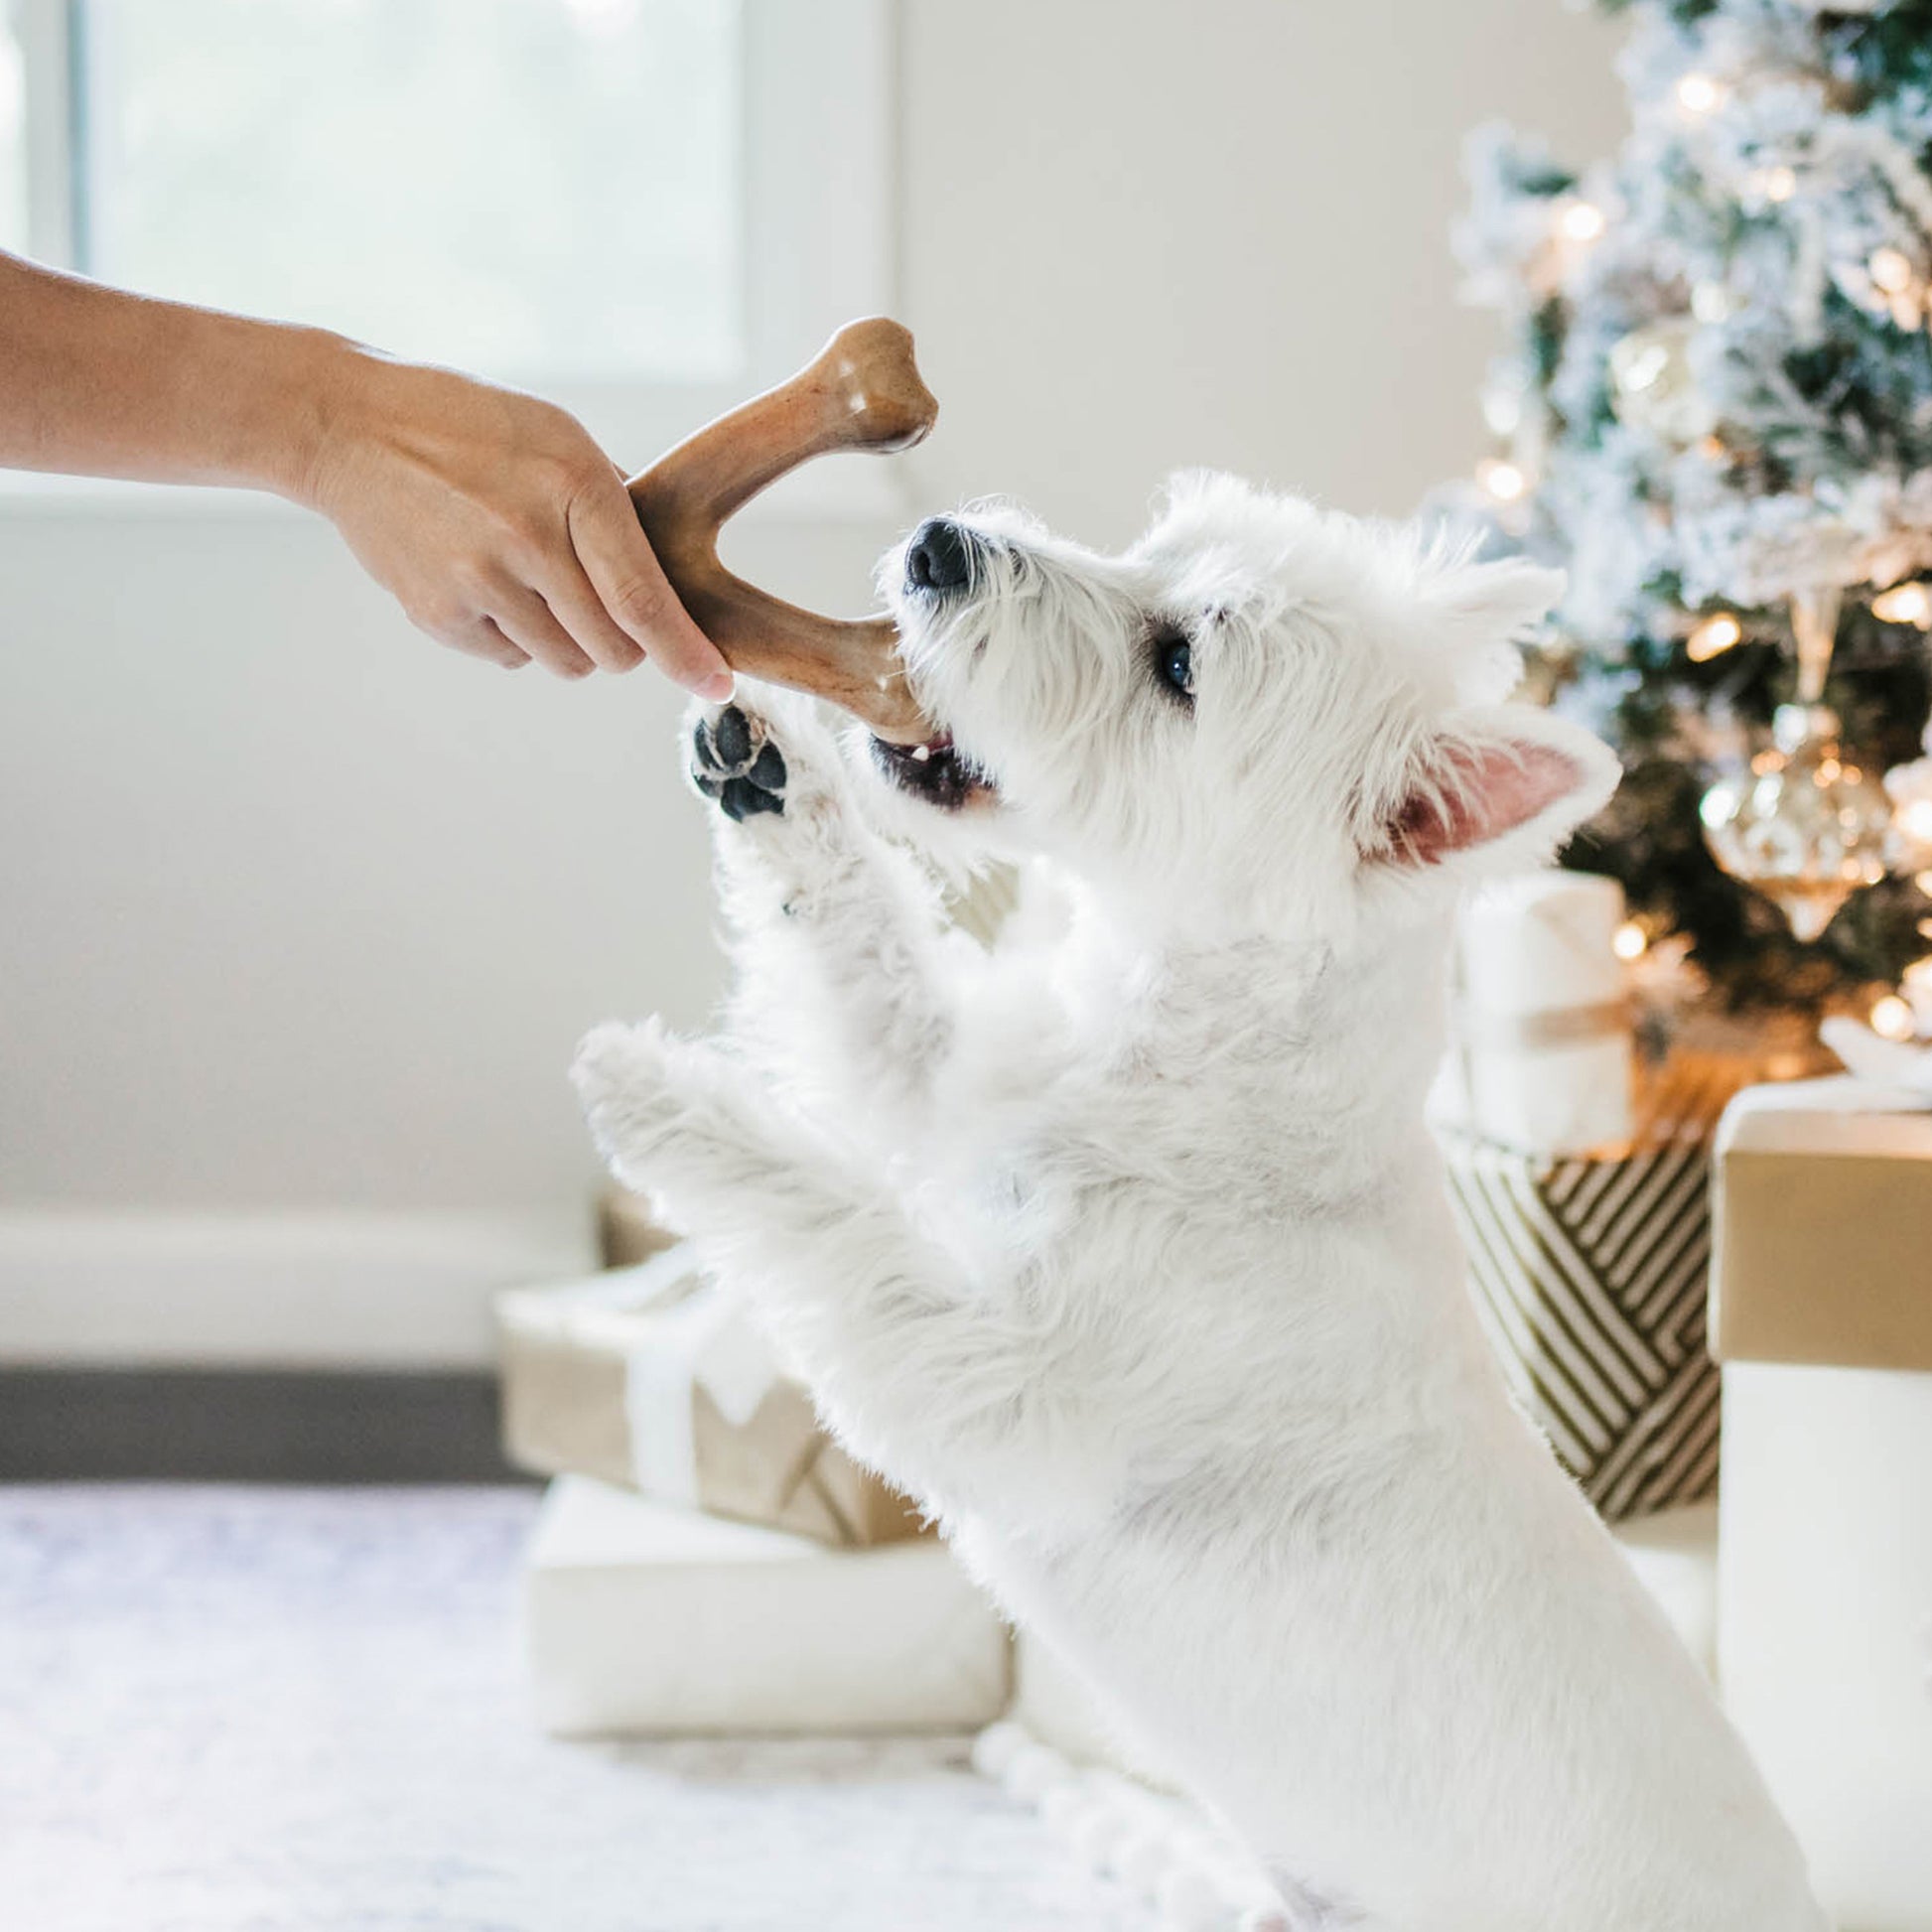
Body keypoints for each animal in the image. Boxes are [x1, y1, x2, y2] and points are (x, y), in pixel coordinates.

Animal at [568, 471, 1824, 1932]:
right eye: (1147, 549)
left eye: (1177, 664)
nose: (937, 544)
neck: (1191, 1071)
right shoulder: (943, 1087)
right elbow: (864, 964)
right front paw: (766, 768)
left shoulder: (987, 1382)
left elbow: (828, 1217)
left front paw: (650, 1091)